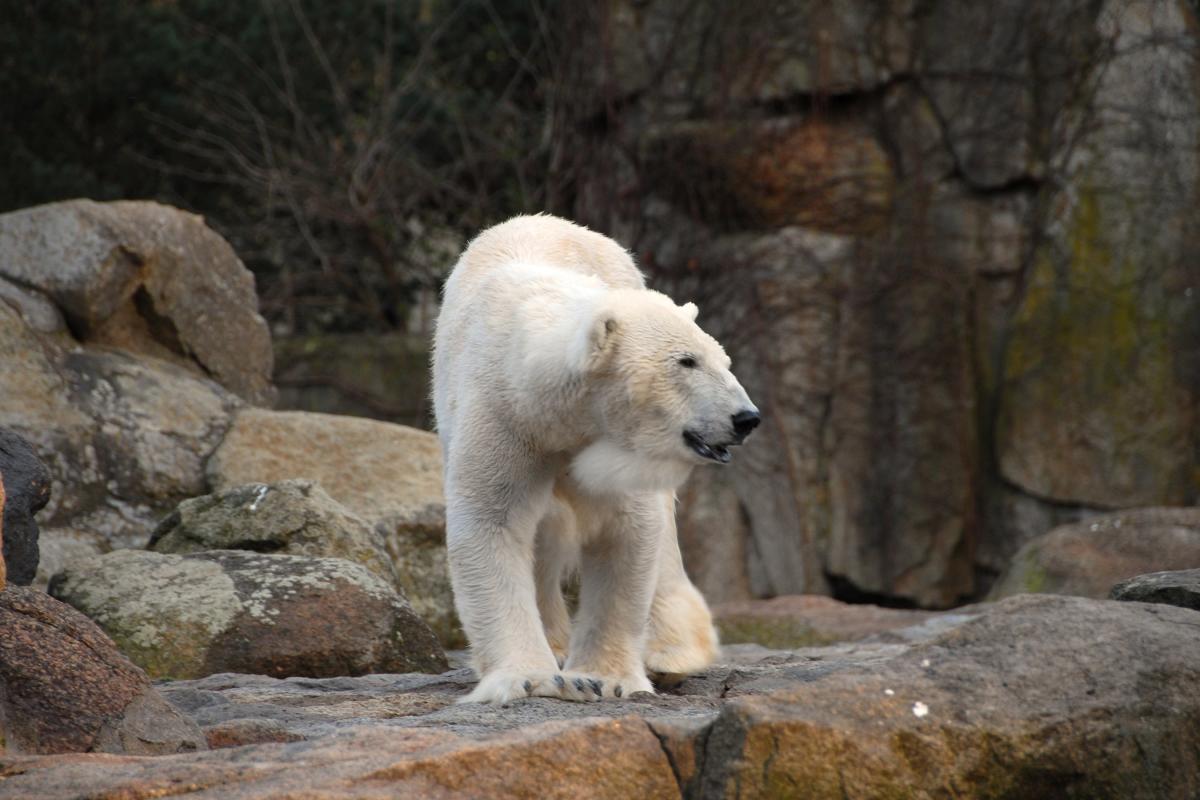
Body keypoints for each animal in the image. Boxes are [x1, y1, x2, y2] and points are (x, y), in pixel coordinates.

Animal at [434, 215, 758, 705]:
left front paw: (603, 678)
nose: (746, 417)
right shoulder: (504, 417)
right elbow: (493, 523)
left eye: (724, 361)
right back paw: (555, 644)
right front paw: (528, 677)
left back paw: (672, 653)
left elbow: (627, 530)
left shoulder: (620, 447)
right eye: (686, 361)